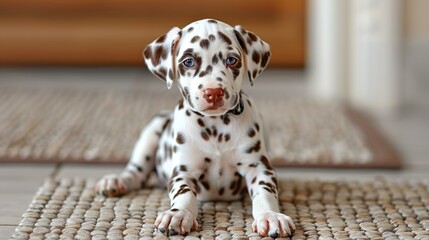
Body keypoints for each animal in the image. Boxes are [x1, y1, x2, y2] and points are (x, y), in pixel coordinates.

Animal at [95, 19, 294, 238]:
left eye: (232, 60)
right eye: (188, 62)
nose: (213, 93)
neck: (216, 128)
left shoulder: (258, 167)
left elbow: (265, 192)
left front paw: (270, 216)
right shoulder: (184, 171)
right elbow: (185, 193)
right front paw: (179, 214)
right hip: (152, 130)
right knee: (136, 173)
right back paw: (116, 181)